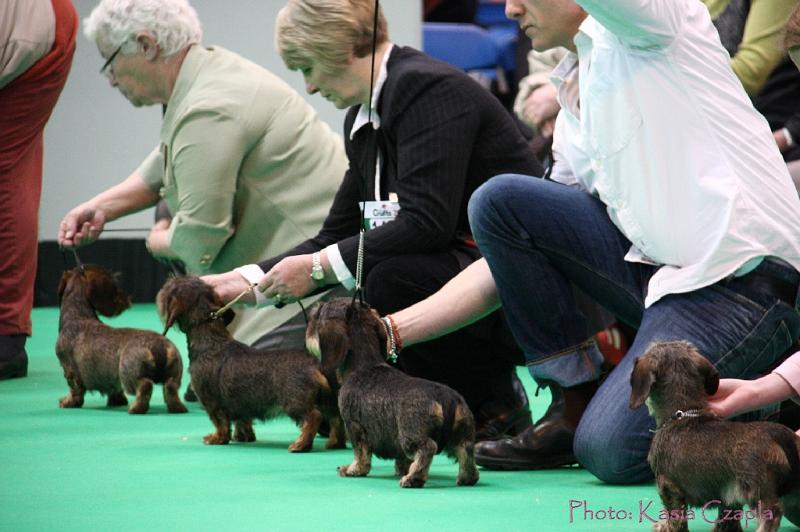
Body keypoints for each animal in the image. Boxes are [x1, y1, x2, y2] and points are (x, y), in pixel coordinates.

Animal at [56, 266, 188, 416]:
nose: (127, 300)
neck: (77, 315)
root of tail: (157, 346)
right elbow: (114, 390)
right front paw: (117, 401)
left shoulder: (69, 369)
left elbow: (75, 389)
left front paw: (68, 402)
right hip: (174, 371)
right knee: (171, 387)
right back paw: (177, 408)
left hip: (128, 375)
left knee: (145, 386)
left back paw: (136, 408)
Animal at [158, 276, 342, 450]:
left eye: (171, 287)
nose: (164, 284)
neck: (211, 340)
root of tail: (315, 364)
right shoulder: (240, 404)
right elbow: (242, 420)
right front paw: (243, 436)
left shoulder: (212, 402)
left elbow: (220, 423)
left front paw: (217, 438)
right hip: (330, 401)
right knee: (336, 419)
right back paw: (334, 442)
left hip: (295, 402)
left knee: (314, 417)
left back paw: (301, 444)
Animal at [304, 298, 482, 488]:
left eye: (318, 314)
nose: (308, 328)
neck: (364, 365)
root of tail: (445, 397)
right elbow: (401, 459)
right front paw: (401, 469)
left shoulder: (354, 425)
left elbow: (360, 453)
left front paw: (353, 469)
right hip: (462, 432)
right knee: (466, 450)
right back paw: (467, 477)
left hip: (410, 435)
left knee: (427, 448)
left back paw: (414, 478)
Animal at [632, 340, 800, 532]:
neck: (684, 414)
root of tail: (779, 434)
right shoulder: (729, 495)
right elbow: (728, 517)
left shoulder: (667, 484)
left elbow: (675, 515)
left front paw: (666, 527)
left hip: (756, 489)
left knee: (772, 514)